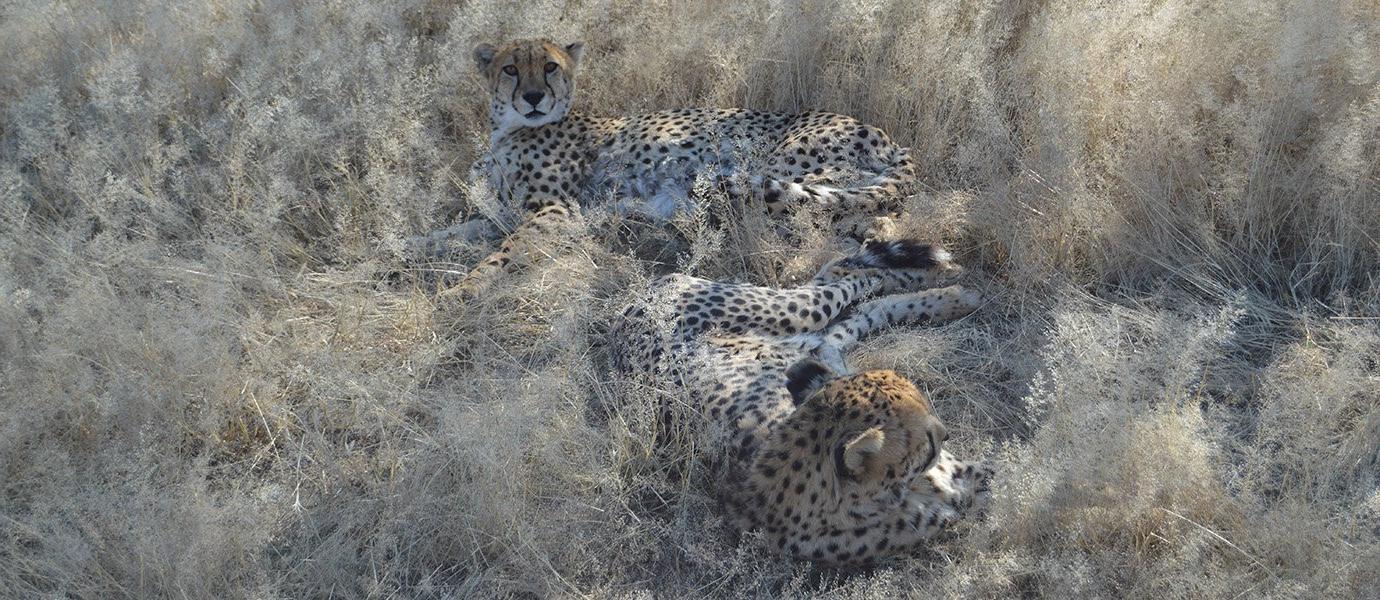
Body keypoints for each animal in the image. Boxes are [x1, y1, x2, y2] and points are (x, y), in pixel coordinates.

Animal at [441, 37, 916, 297]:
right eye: (510, 69)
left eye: (550, 67)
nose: (534, 97)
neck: (508, 130)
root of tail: (882, 133)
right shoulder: (502, 214)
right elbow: (452, 233)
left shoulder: (556, 211)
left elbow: (504, 252)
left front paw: (464, 290)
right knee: (871, 217)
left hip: (771, 174)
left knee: (823, 220)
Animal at [615, 238, 993, 562]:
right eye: (926, 439)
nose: (945, 433)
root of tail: (631, 306)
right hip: (801, 322)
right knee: (854, 292)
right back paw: (948, 288)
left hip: (799, 324)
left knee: (850, 280)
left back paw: (946, 287)